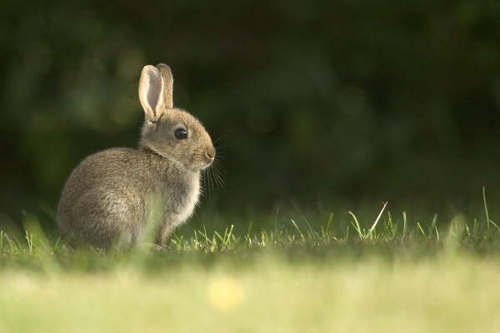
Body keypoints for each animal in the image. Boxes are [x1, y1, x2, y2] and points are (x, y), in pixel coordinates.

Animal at [56, 63, 215, 248]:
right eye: (181, 133)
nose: (211, 154)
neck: (166, 157)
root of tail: (68, 233)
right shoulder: (164, 217)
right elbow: (160, 234)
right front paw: (162, 248)